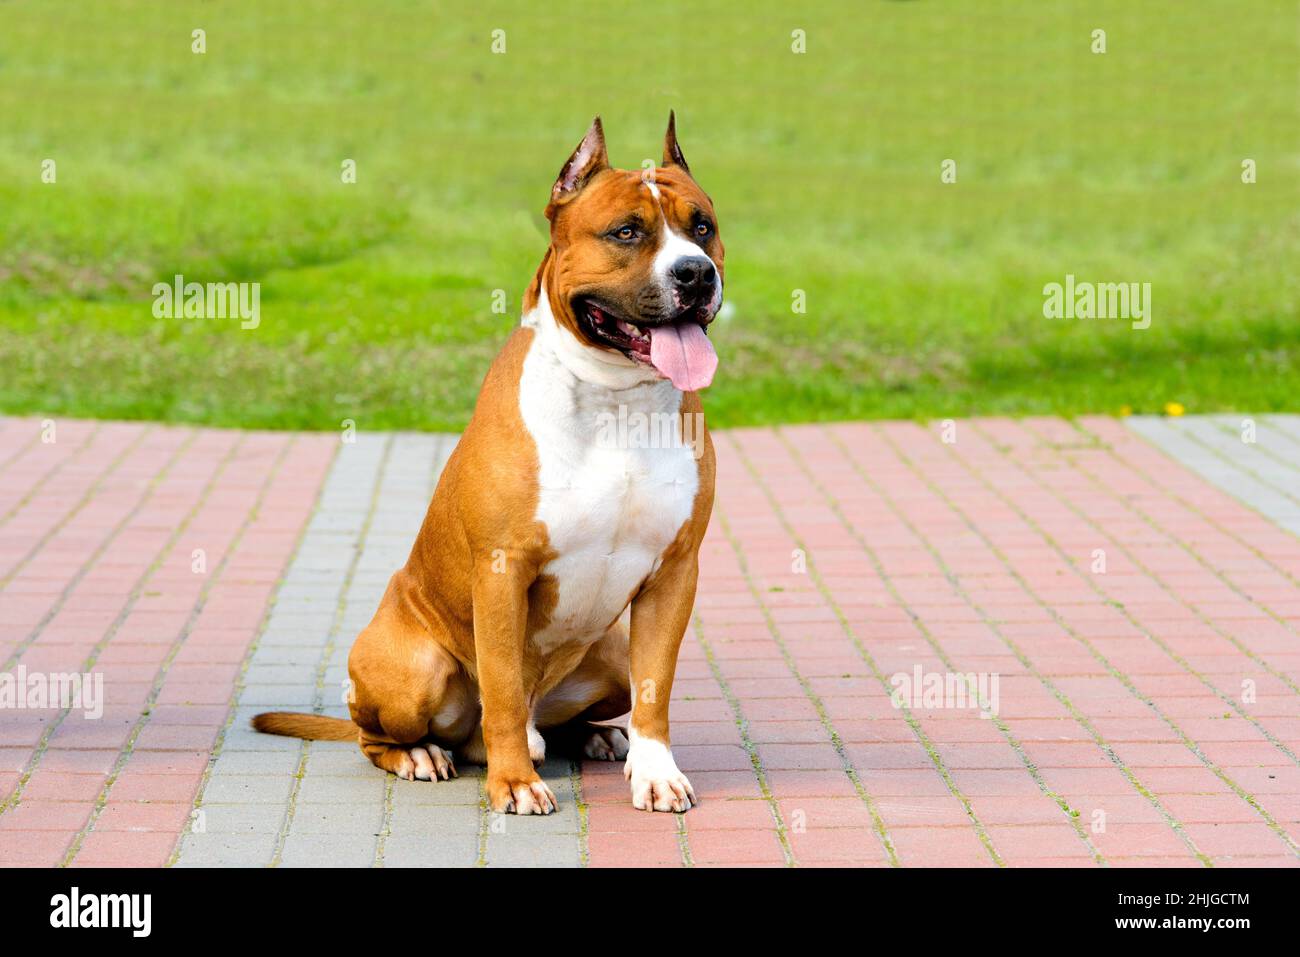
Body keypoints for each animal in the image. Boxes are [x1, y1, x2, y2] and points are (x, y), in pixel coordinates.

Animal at [250, 111, 722, 816]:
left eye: (703, 227)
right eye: (627, 232)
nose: (696, 274)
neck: (617, 401)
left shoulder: (674, 572)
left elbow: (655, 691)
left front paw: (655, 772)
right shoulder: (503, 569)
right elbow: (500, 689)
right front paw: (514, 784)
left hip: (610, 652)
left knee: (570, 710)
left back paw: (595, 737)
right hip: (410, 670)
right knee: (384, 734)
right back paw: (426, 753)